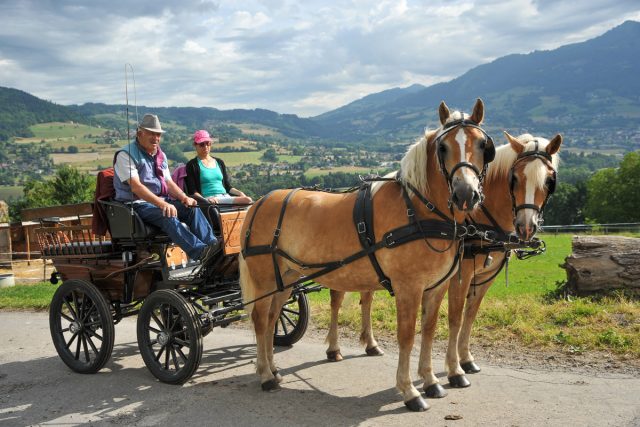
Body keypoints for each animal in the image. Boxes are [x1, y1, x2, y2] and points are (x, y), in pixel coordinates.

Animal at [240, 98, 496, 412]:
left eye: (483, 145)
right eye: (444, 147)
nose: (465, 194)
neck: (418, 210)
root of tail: (259, 202)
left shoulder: (436, 287)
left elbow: (429, 330)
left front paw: (431, 380)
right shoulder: (408, 287)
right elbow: (407, 336)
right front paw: (410, 390)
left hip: (285, 279)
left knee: (272, 318)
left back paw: (273, 370)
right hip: (265, 279)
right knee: (261, 320)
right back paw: (265, 375)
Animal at [324, 132, 560, 400]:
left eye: (550, 180)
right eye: (515, 177)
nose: (526, 227)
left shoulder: (485, 279)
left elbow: (470, 316)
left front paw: (466, 359)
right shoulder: (460, 275)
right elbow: (455, 319)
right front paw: (455, 369)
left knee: (367, 299)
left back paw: (371, 344)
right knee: (336, 301)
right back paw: (333, 348)